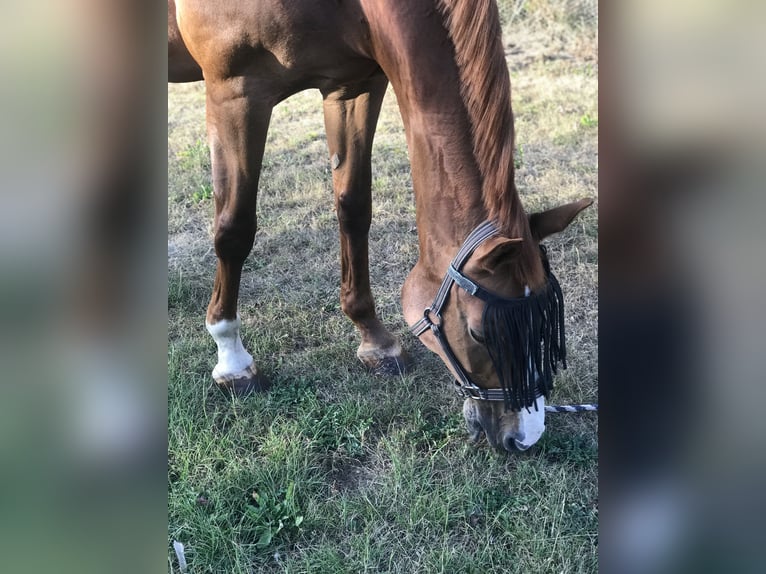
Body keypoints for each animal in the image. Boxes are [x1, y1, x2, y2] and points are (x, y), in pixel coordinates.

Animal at [168, 0, 593, 452]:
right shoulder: (236, 93)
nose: (525, 438)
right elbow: (234, 231)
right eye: (479, 333)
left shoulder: (353, 87)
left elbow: (354, 209)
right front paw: (231, 357)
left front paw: (375, 339)